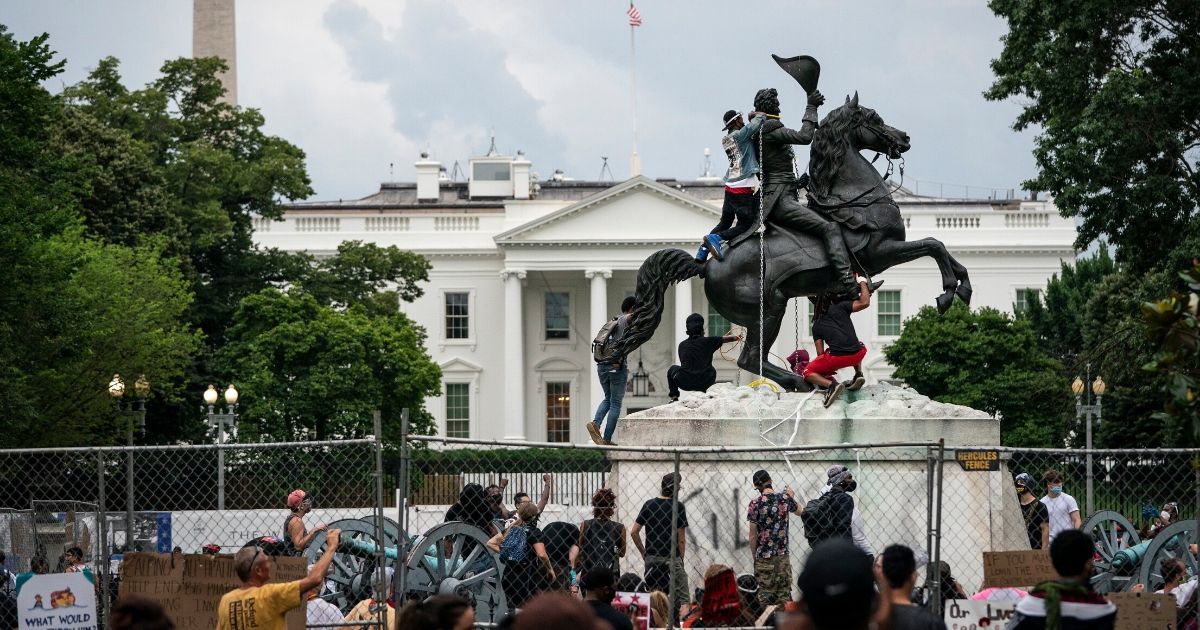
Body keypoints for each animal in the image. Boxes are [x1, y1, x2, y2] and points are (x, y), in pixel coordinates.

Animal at [619, 94, 974, 388]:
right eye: (873, 117)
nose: (905, 138)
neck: (855, 199)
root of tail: (706, 266)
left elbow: (939, 246)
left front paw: (962, 287)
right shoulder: (880, 252)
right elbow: (933, 244)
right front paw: (948, 293)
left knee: (755, 358)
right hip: (769, 307)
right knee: (751, 358)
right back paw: (801, 381)